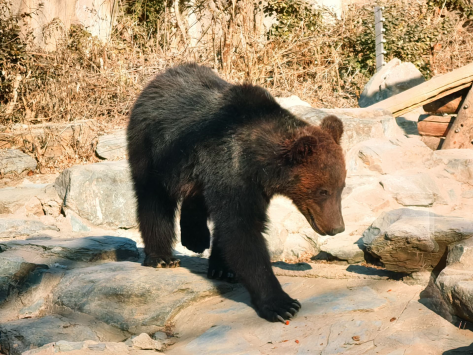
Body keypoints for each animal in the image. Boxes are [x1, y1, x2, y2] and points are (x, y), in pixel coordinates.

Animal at [127, 62, 344, 324]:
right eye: (323, 191)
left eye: (341, 186)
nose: (337, 228)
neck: (260, 162)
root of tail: (156, 80)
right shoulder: (230, 164)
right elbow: (241, 228)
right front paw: (282, 304)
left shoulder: (253, 184)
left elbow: (233, 223)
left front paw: (223, 267)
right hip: (153, 148)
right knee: (153, 200)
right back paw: (162, 257)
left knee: (195, 195)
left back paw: (196, 239)